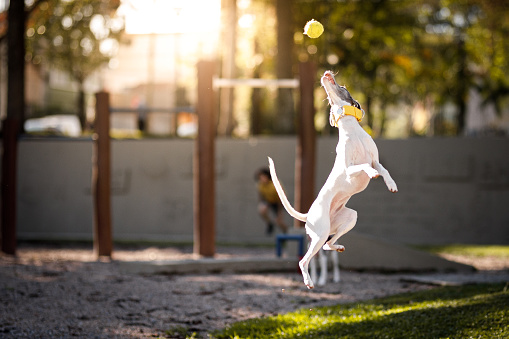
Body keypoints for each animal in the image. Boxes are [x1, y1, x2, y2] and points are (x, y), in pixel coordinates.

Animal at [268, 71, 398, 290]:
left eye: (342, 86)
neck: (351, 131)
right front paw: (371, 174)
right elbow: (364, 167)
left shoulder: (376, 160)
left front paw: (391, 184)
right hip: (320, 233)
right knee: (305, 260)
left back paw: (338, 247)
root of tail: (308, 214)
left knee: (328, 245)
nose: (327, 73)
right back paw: (309, 281)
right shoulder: (348, 169)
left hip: (347, 220)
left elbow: (384, 169)